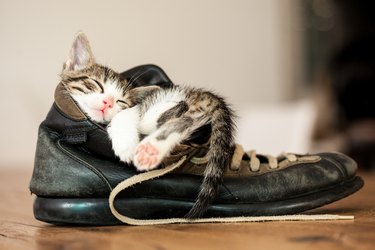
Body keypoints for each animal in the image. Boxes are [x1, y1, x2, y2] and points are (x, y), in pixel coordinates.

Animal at [62, 32, 238, 218]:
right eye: (96, 84)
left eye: (120, 101)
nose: (108, 102)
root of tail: (199, 94)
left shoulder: (133, 108)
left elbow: (128, 113)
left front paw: (125, 144)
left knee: (182, 117)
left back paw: (153, 147)